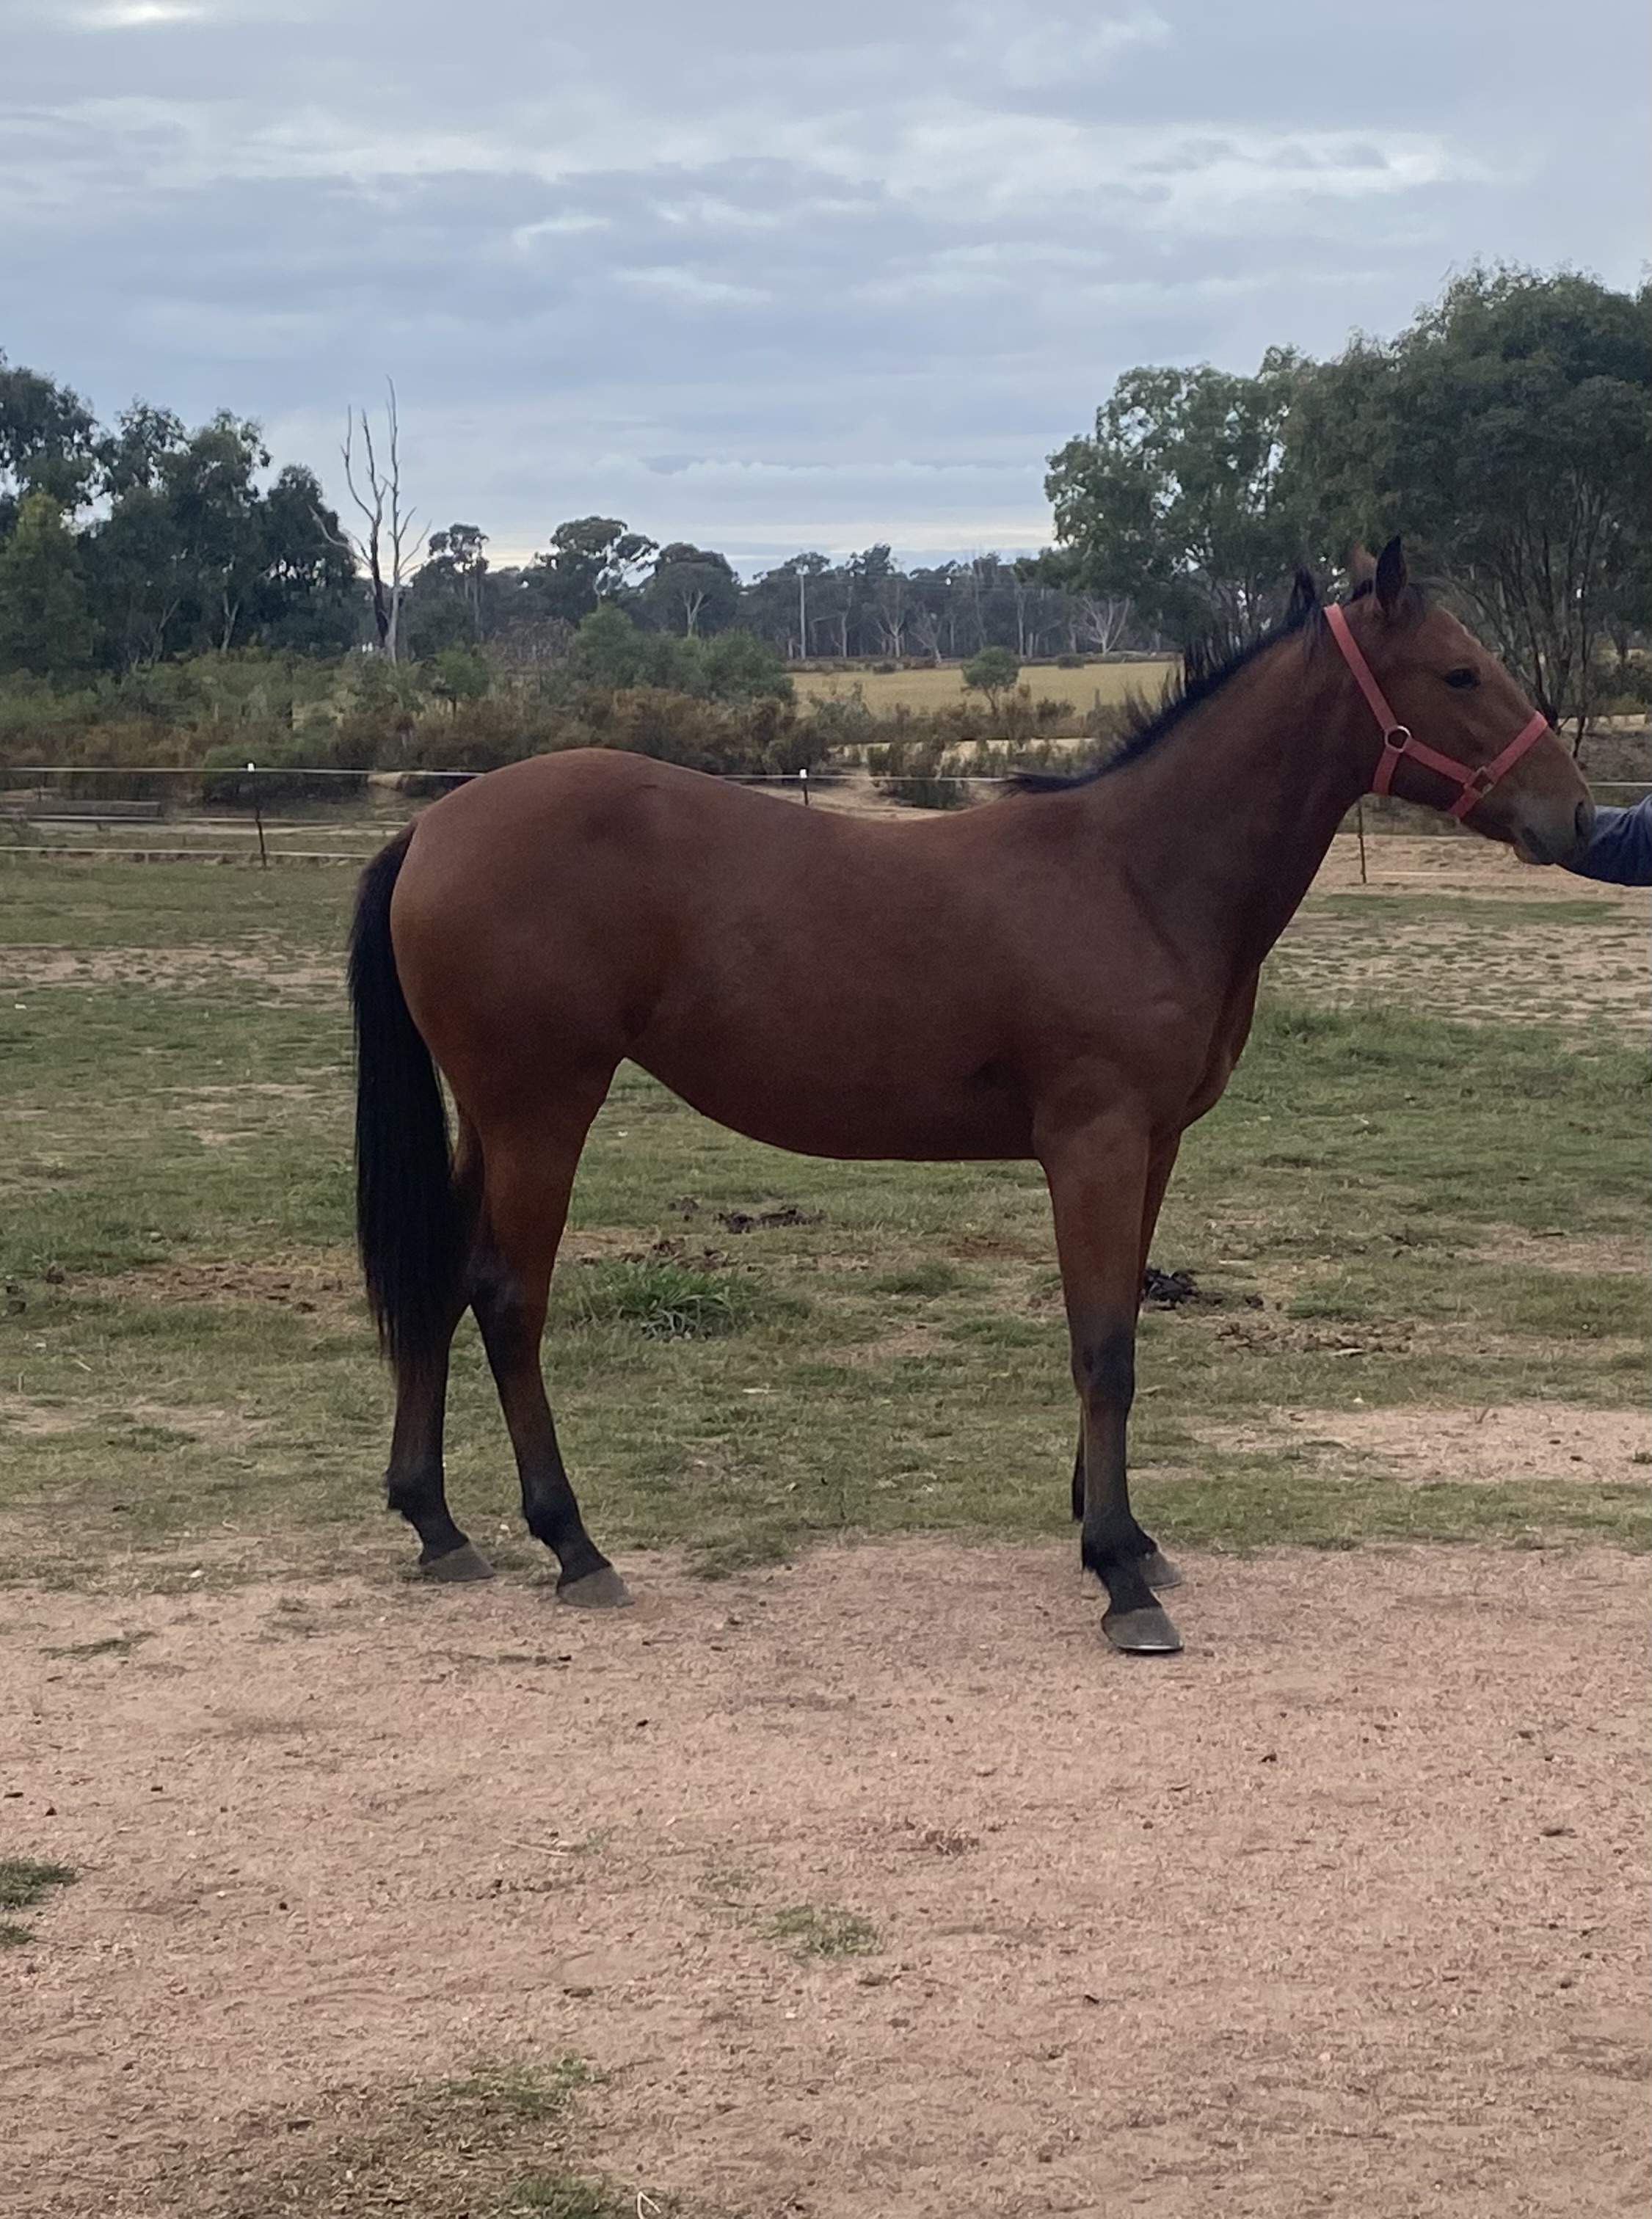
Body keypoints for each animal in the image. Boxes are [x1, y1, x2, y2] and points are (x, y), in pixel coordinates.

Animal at [347, 540, 1591, 1653]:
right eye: (1459, 673)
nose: (1574, 815)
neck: (1138, 876)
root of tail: (434, 825)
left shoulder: (1151, 1148)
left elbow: (1117, 1327)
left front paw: (1124, 1541)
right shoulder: (1092, 1145)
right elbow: (1102, 1349)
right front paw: (1117, 1579)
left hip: (489, 1122)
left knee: (439, 1280)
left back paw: (438, 1525)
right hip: (540, 1114)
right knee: (508, 1300)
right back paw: (573, 1546)